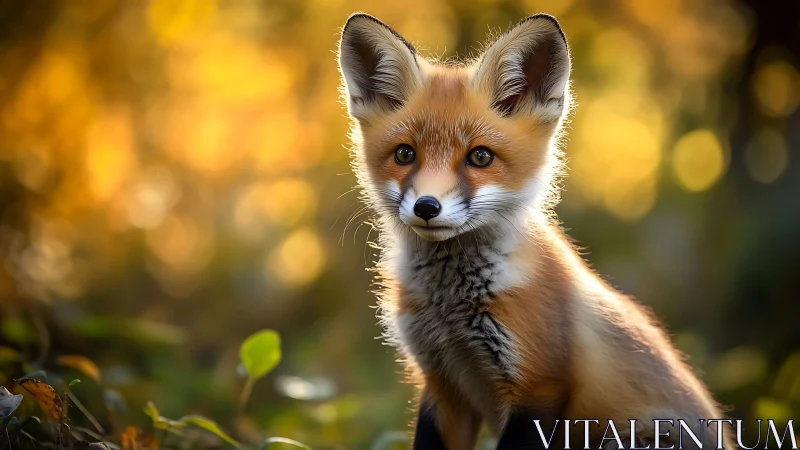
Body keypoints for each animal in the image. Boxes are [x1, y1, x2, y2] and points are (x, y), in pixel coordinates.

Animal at [337, 13, 735, 450]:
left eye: (480, 157)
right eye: (405, 154)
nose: (426, 207)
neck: (450, 308)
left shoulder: (538, 388)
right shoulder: (442, 385)